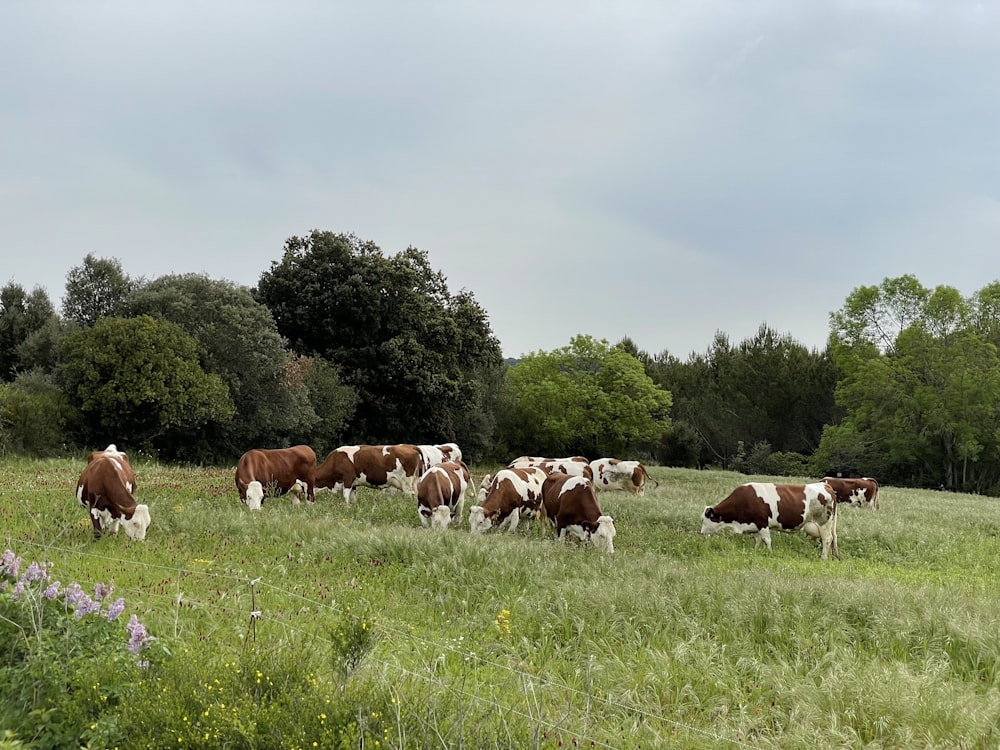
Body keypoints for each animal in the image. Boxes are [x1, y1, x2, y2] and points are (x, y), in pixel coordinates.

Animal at [700, 484, 840, 560]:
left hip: (823, 523)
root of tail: (826, 486)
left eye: (703, 520)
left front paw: (770, 553)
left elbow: (767, 540)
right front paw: (755, 552)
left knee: (827, 539)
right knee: (833, 539)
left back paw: (823, 558)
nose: (700, 533)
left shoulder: (762, 523)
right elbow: (757, 540)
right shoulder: (755, 525)